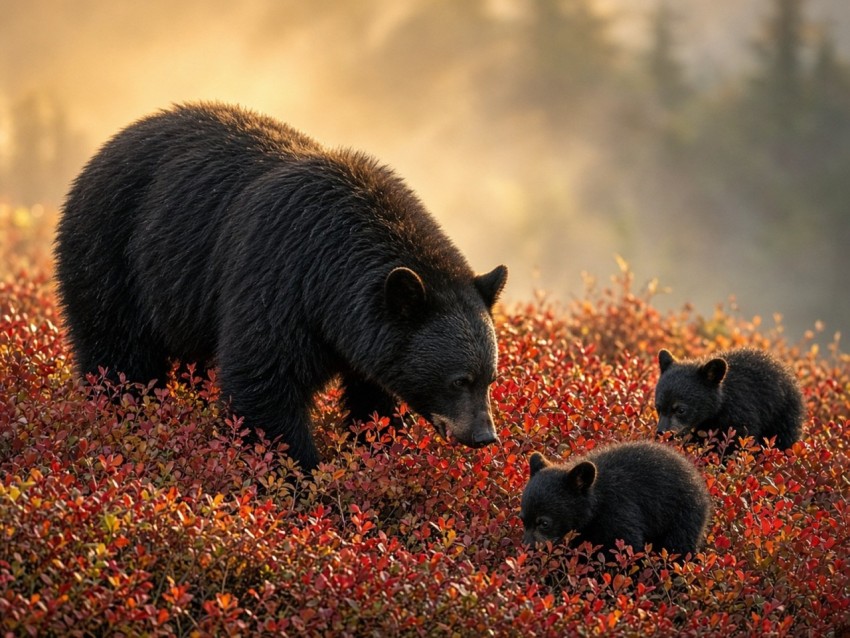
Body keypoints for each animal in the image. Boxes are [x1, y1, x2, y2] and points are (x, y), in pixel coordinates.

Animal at [54, 102, 508, 472]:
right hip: (113, 256)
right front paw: (298, 476)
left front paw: (375, 450)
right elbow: (265, 383)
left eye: (491, 377)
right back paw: (123, 417)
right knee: (118, 355)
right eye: (459, 380)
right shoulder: (280, 281)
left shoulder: (363, 331)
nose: (484, 437)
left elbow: (374, 397)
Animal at [521, 441, 711, 556]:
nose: (526, 549)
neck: (596, 506)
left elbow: (626, 546)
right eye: (522, 519)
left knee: (677, 548)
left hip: (682, 517)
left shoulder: (617, 514)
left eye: (544, 522)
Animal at [655, 347, 804, 452]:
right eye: (658, 407)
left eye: (681, 409)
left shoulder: (739, 415)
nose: (661, 432)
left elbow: (736, 442)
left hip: (782, 418)